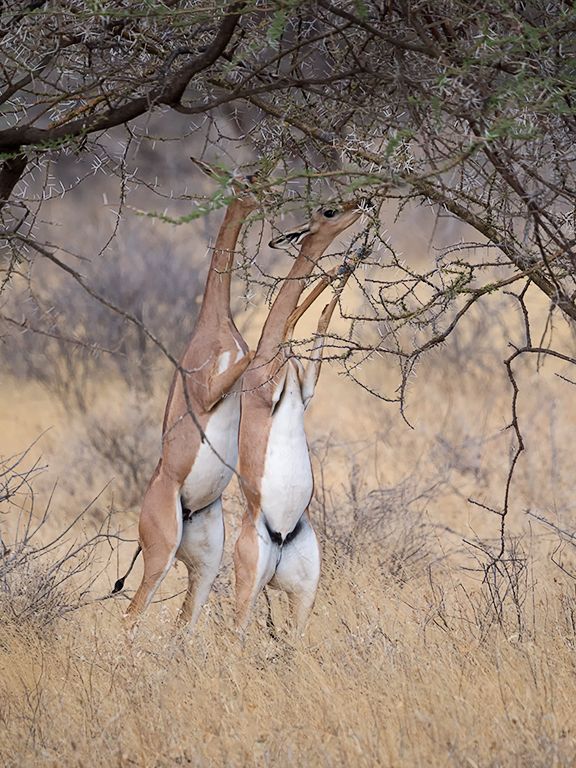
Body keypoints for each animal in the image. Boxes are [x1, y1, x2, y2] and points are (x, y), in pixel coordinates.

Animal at [118, 163, 258, 631]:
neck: (214, 324)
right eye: (242, 182)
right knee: (129, 617)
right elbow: (253, 353)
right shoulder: (212, 390)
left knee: (184, 624)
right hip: (160, 558)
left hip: (206, 563)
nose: (265, 193)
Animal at [234, 201, 364, 634]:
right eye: (328, 211)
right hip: (248, 591)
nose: (362, 204)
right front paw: (342, 262)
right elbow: (292, 319)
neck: (261, 357)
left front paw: (352, 260)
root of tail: (279, 537)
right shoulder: (273, 381)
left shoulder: (305, 388)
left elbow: (319, 321)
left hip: (304, 590)